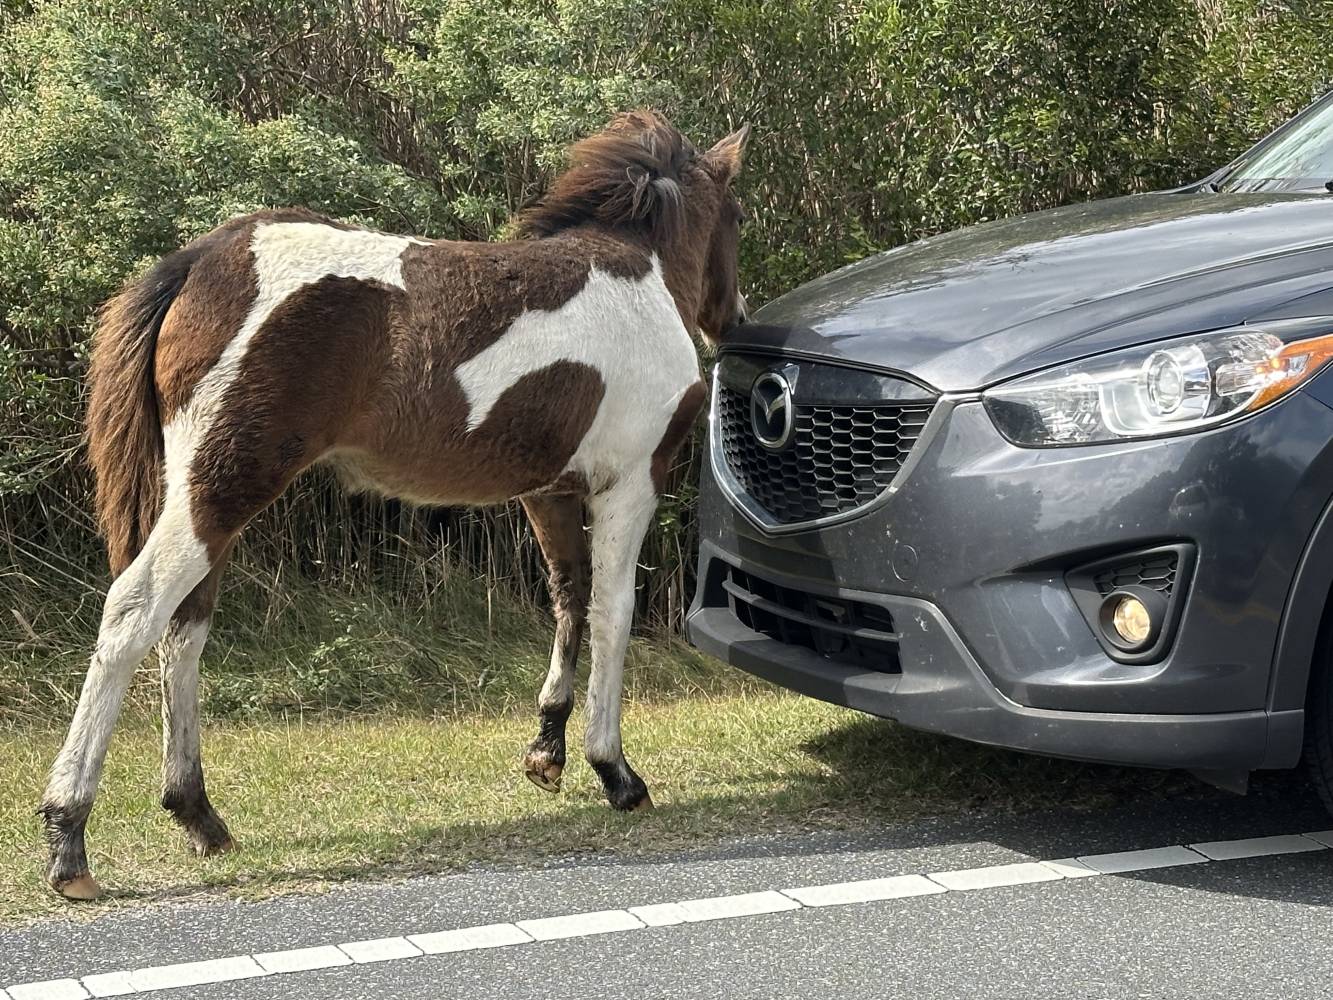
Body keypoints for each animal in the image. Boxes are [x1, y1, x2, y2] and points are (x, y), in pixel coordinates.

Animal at [38, 111, 750, 900]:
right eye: (738, 218)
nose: (736, 319)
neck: (639, 278)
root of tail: (202, 259)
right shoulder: (631, 480)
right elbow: (613, 613)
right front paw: (615, 772)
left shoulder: (549, 491)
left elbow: (568, 600)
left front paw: (547, 751)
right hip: (221, 486)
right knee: (135, 610)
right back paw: (69, 836)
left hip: (201, 494)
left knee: (184, 627)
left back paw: (198, 815)